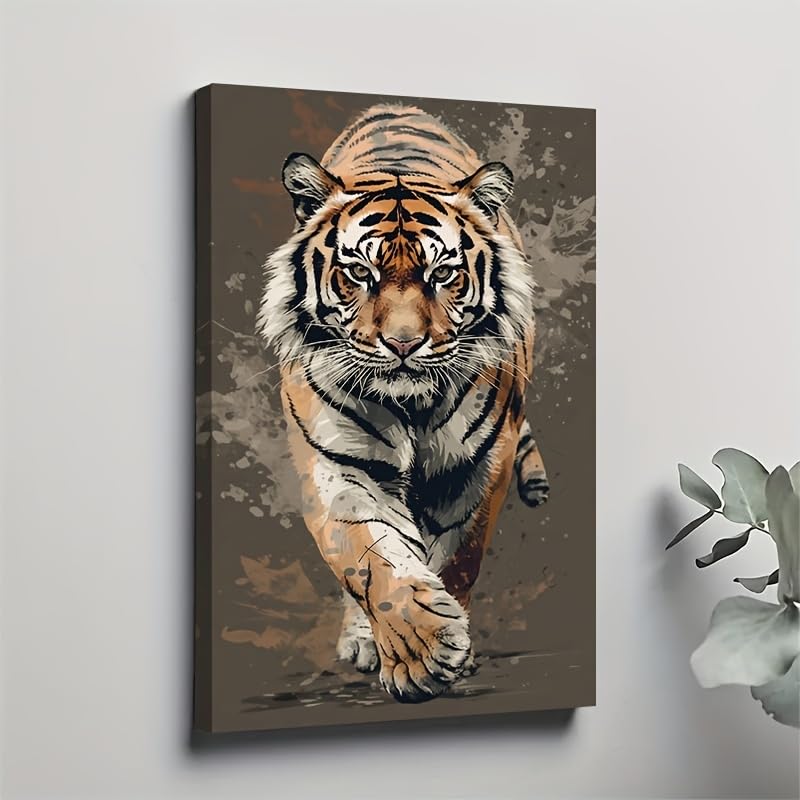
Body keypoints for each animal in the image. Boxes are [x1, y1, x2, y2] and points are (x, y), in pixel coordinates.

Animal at [258, 104, 549, 703]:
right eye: (358, 273)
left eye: (443, 274)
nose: (403, 343)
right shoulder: (338, 464)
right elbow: (371, 559)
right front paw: (421, 653)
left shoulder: (477, 467)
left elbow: (456, 557)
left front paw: (447, 652)